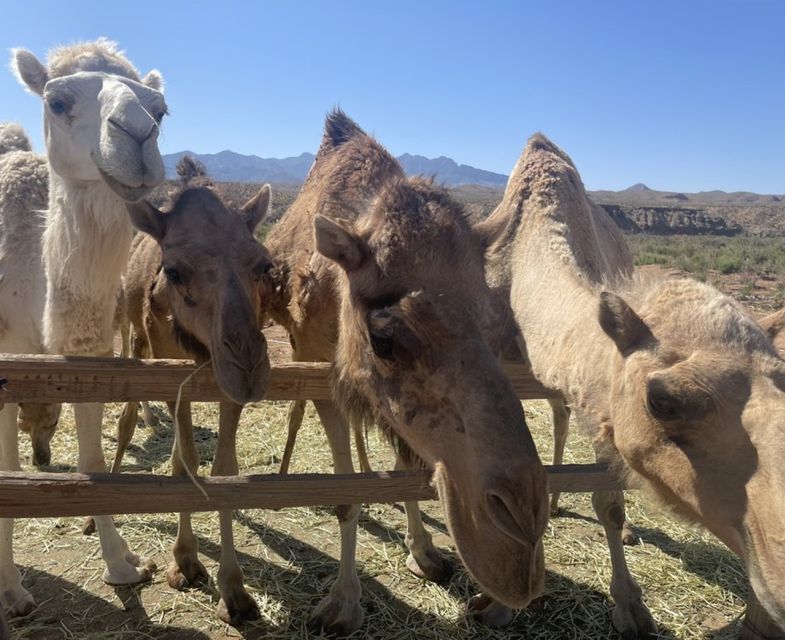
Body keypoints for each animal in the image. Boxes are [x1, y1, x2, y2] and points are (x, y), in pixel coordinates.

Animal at [2, 39, 167, 617]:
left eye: (161, 109)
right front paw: (11, 590)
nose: (137, 134)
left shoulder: (88, 353)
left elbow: (93, 459)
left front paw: (123, 565)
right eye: (57, 101)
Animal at [117, 183, 273, 623]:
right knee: (127, 417)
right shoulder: (173, 374)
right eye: (173, 271)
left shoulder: (226, 389)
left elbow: (224, 468)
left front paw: (234, 590)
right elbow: (185, 457)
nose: (247, 367)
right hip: (136, 341)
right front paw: (184, 561)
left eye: (265, 265)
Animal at [264, 109, 549, 635]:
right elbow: (344, 492)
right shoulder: (324, 369)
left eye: (494, 322)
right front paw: (342, 604)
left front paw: (425, 553)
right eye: (384, 338)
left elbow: (406, 466)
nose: (521, 534)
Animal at [476, 132, 785, 635]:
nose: (778, 573)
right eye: (661, 400)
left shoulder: (603, 397)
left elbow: (609, 501)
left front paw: (630, 606)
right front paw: (499, 602)